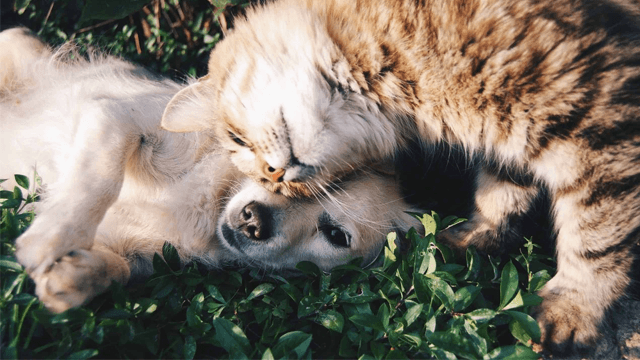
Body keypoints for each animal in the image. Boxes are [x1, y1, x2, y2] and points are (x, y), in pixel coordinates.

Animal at [0, 28, 422, 312]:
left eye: (336, 235)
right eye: (275, 170)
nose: (254, 220)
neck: (211, 202)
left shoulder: (141, 254)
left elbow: (117, 270)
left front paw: (73, 277)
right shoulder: (116, 116)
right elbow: (99, 179)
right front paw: (50, 239)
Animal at [162, 0, 640, 354]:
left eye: (236, 138)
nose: (276, 175)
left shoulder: (598, 122)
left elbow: (596, 238)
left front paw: (573, 310)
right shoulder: (511, 140)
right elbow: (501, 196)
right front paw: (471, 239)